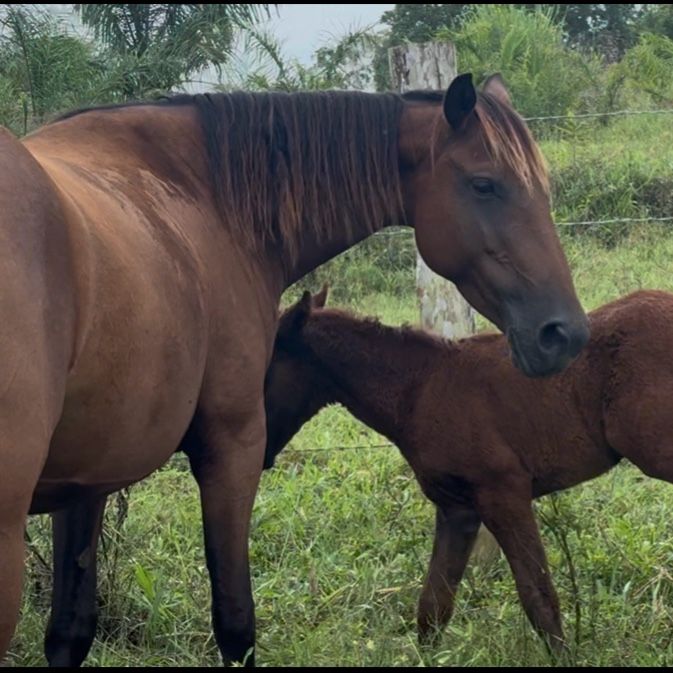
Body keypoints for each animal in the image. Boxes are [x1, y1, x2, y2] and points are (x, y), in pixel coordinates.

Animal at [3, 73, 588, 667]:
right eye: (484, 185)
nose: (563, 334)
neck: (206, 197)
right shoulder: (234, 443)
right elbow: (236, 623)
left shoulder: (87, 479)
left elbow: (71, 630)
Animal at [261, 286, 673, 655]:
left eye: (262, 371)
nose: (258, 453)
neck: (418, 389)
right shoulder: (457, 509)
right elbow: (433, 605)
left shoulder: (504, 494)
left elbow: (538, 597)